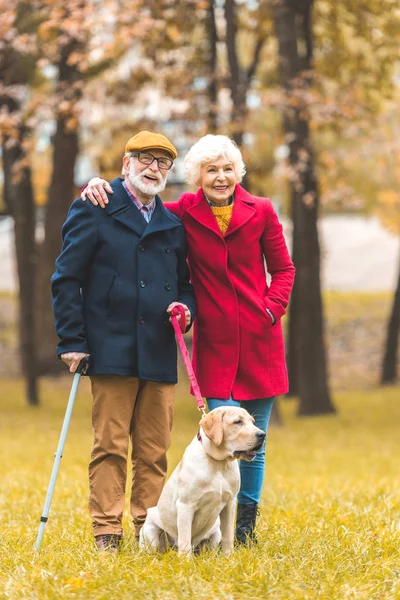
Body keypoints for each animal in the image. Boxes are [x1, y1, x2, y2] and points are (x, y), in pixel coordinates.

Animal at [139, 406, 268, 556]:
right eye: (237, 422)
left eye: (253, 421)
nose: (262, 434)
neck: (218, 463)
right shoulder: (185, 505)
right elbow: (184, 540)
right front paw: (185, 560)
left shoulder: (229, 503)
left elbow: (228, 536)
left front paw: (228, 557)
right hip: (150, 531)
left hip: (215, 531)